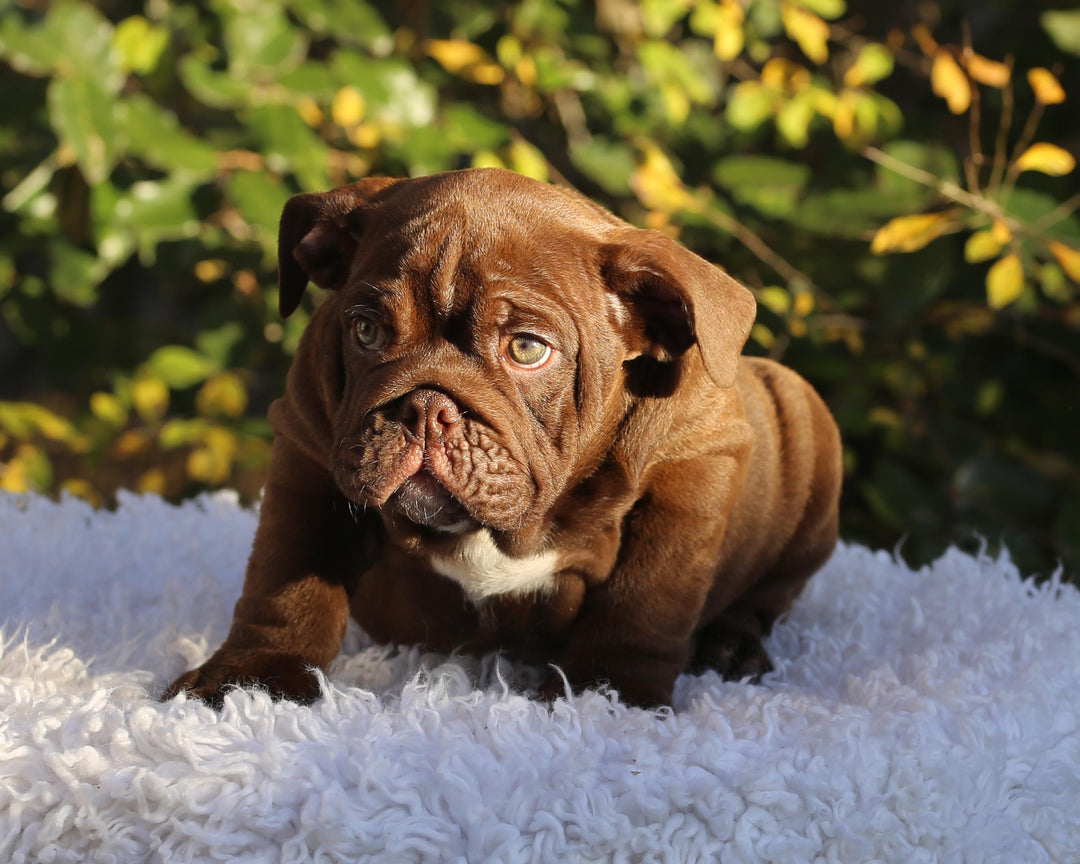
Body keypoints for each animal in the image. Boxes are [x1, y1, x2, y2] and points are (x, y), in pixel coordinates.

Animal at [168, 167, 842, 708]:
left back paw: (732, 647)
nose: (425, 407)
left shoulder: (691, 470)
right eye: (365, 331)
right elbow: (287, 577)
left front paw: (606, 697)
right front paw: (251, 680)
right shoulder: (308, 452)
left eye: (525, 349)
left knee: (767, 595)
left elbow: (642, 603)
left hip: (805, 427)